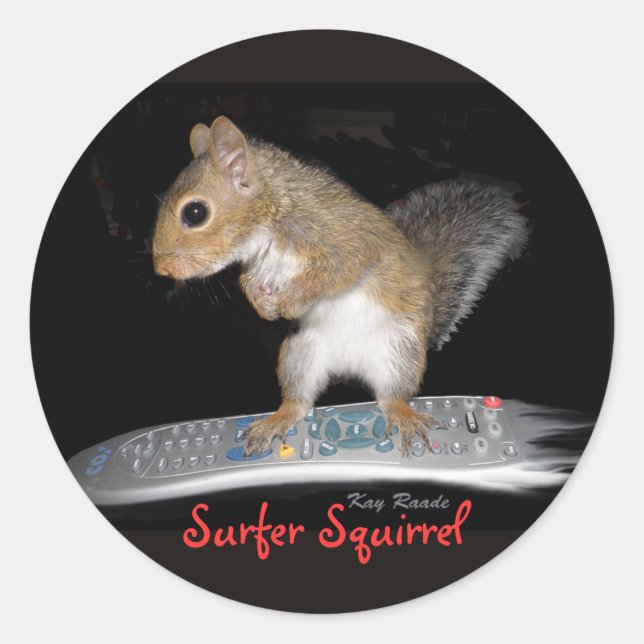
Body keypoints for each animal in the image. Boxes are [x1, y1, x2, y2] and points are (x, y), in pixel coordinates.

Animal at [153, 116, 529, 456]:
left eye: (195, 213)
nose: (161, 269)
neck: (272, 217)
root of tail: (350, 368)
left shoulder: (346, 238)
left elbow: (336, 270)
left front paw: (290, 302)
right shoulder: (256, 266)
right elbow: (248, 283)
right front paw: (264, 306)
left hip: (400, 352)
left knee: (392, 395)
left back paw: (402, 414)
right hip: (300, 355)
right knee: (300, 401)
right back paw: (278, 419)